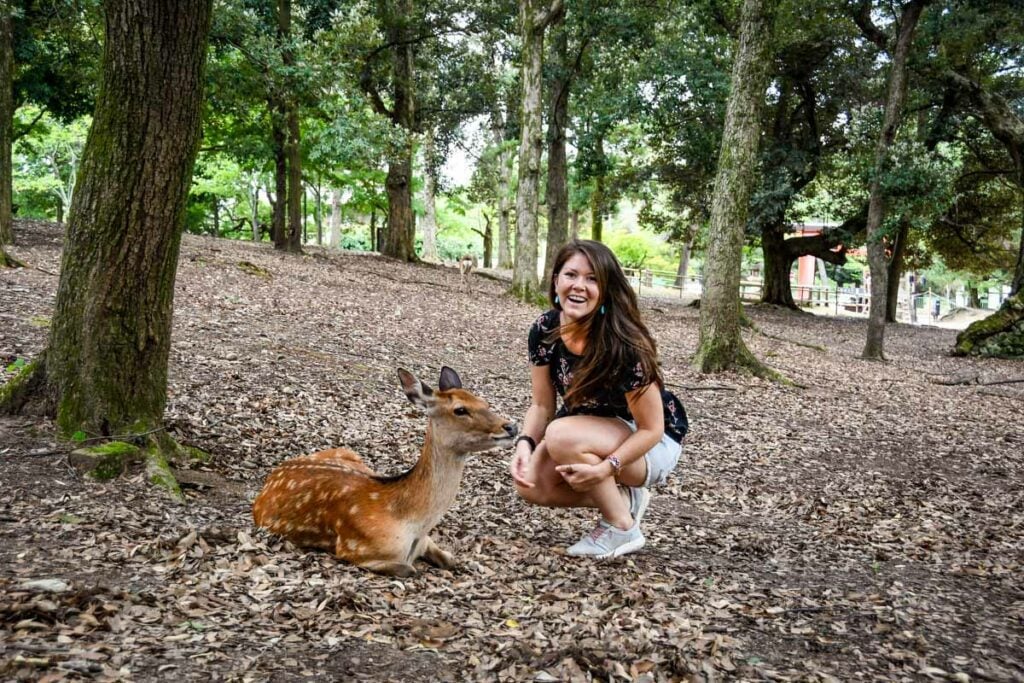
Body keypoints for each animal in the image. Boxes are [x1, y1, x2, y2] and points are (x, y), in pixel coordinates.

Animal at [251, 368, 516, 577]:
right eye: (460, 410)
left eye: (485, 403)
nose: (511, 426)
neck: (413, 523)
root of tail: (273, 473)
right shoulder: (353, 548)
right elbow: (410, 570)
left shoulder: (426, 540)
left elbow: (453, 560)